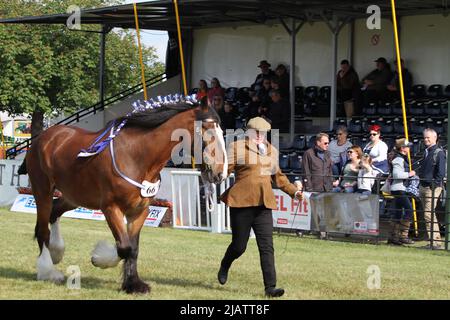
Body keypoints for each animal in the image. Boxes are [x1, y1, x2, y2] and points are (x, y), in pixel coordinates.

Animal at [20, 96, 227, 294]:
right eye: (207, 129)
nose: (221, 172)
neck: (136, 156)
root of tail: (43, 137)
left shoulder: (139, 211)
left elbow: (133, 249)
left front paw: (133, 284)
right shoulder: (111, 208)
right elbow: (124, 247)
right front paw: (100, 258)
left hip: (75, 196)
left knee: (55, 212)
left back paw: (57, 251)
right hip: (42, 190)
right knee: (43, 230)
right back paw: (48, 270)